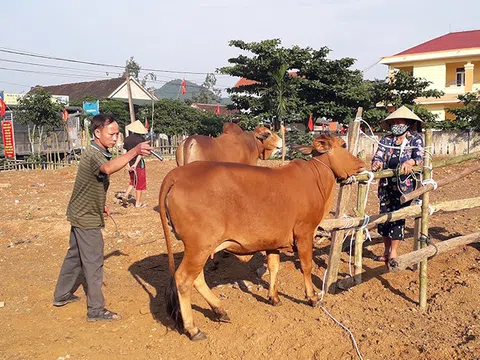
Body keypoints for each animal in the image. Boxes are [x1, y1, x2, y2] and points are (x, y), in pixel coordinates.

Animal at [158, 134, 364, 340]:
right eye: (343, 145)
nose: (362, 163)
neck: (316, 178)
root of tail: (177, 174)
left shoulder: (273, 241)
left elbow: (273, 267)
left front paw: (274, 297)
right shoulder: (304, 233)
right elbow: (306, 266)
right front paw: (312, 297)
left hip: (200, 249)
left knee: (197, 278)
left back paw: (219, 310)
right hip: (199, 247)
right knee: (183, 280)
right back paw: (193, 328)